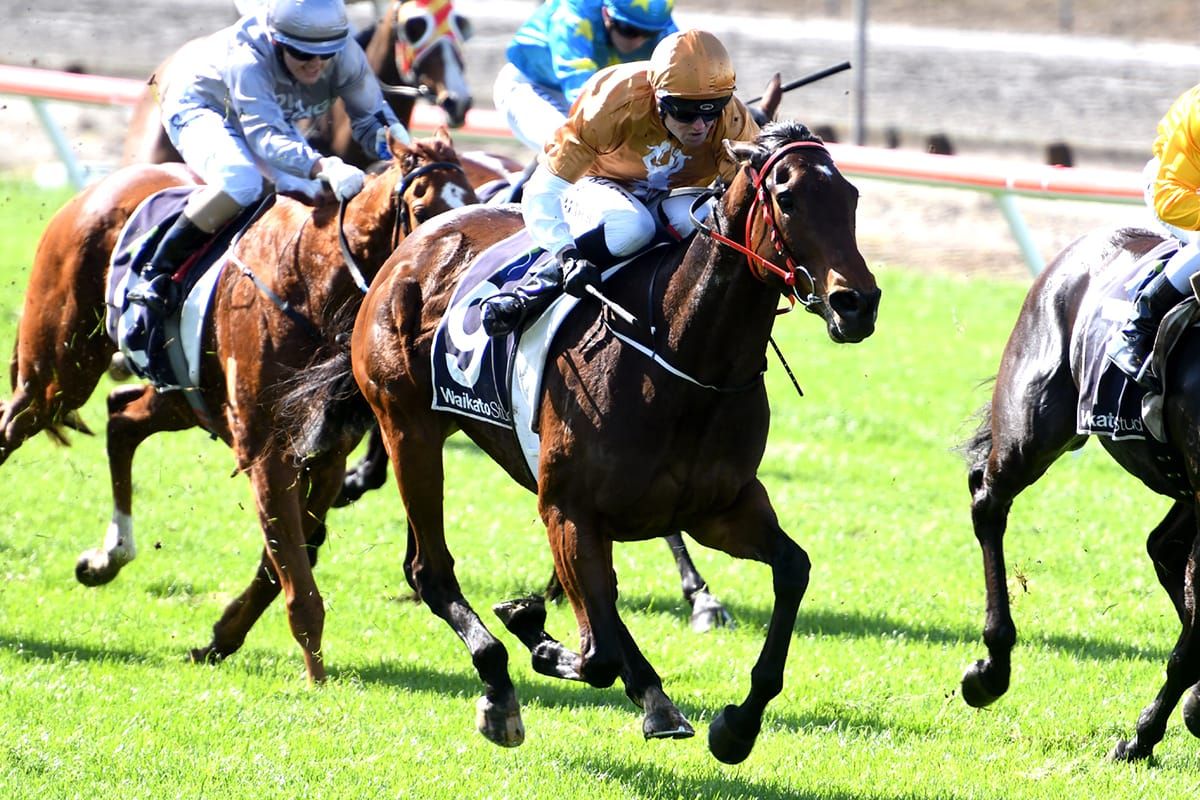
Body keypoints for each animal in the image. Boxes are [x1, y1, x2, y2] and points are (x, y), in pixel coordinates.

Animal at [0, 129, 478, 682]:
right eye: (422, 207)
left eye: (474, 199)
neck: (313, 284)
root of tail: (91, 193)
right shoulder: (268, 451)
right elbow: (293, 568)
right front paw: (317, 680)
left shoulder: (325, 457)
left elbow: (283, 562)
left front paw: (221, 638)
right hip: (58, 371)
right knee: (14, 423)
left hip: (184, 398)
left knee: (121, 418)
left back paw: (109, 555)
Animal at [328, 121, 880, 759]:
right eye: (786, 198)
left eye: (852, 198)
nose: (857, 303)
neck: (680, 355)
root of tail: (410, 249)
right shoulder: (569, 508)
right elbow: (595, 654)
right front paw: (533, 635)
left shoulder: (720, 507)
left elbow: (792, 569)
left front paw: (737, 725)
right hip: (408, 427)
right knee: (430, 570)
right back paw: (499, 684)